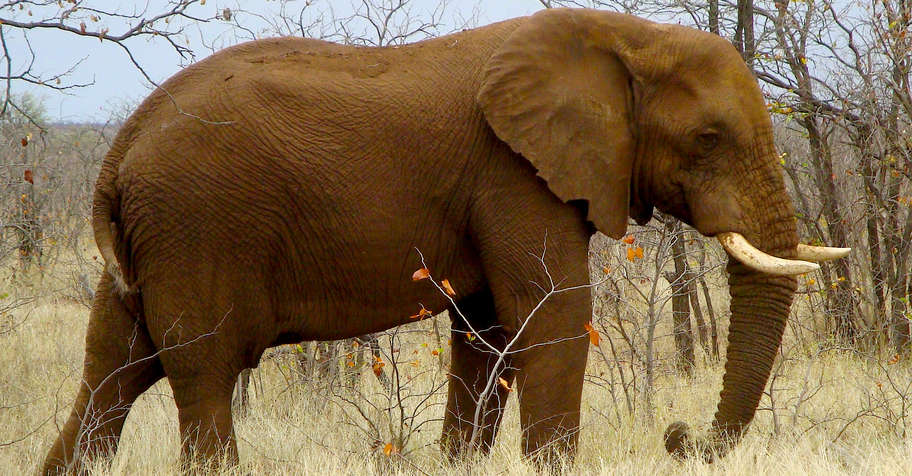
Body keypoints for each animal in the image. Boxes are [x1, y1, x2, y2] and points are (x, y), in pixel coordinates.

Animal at [42, 8, 849, 474]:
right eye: (709, 139)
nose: (678, 437)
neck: (626, 36)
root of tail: (120, 147)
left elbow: (488, 333)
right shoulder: (513, 171)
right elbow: (552, 314)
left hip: (153, 237)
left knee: (113, 366)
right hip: (197, 223)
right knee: (202, 366)